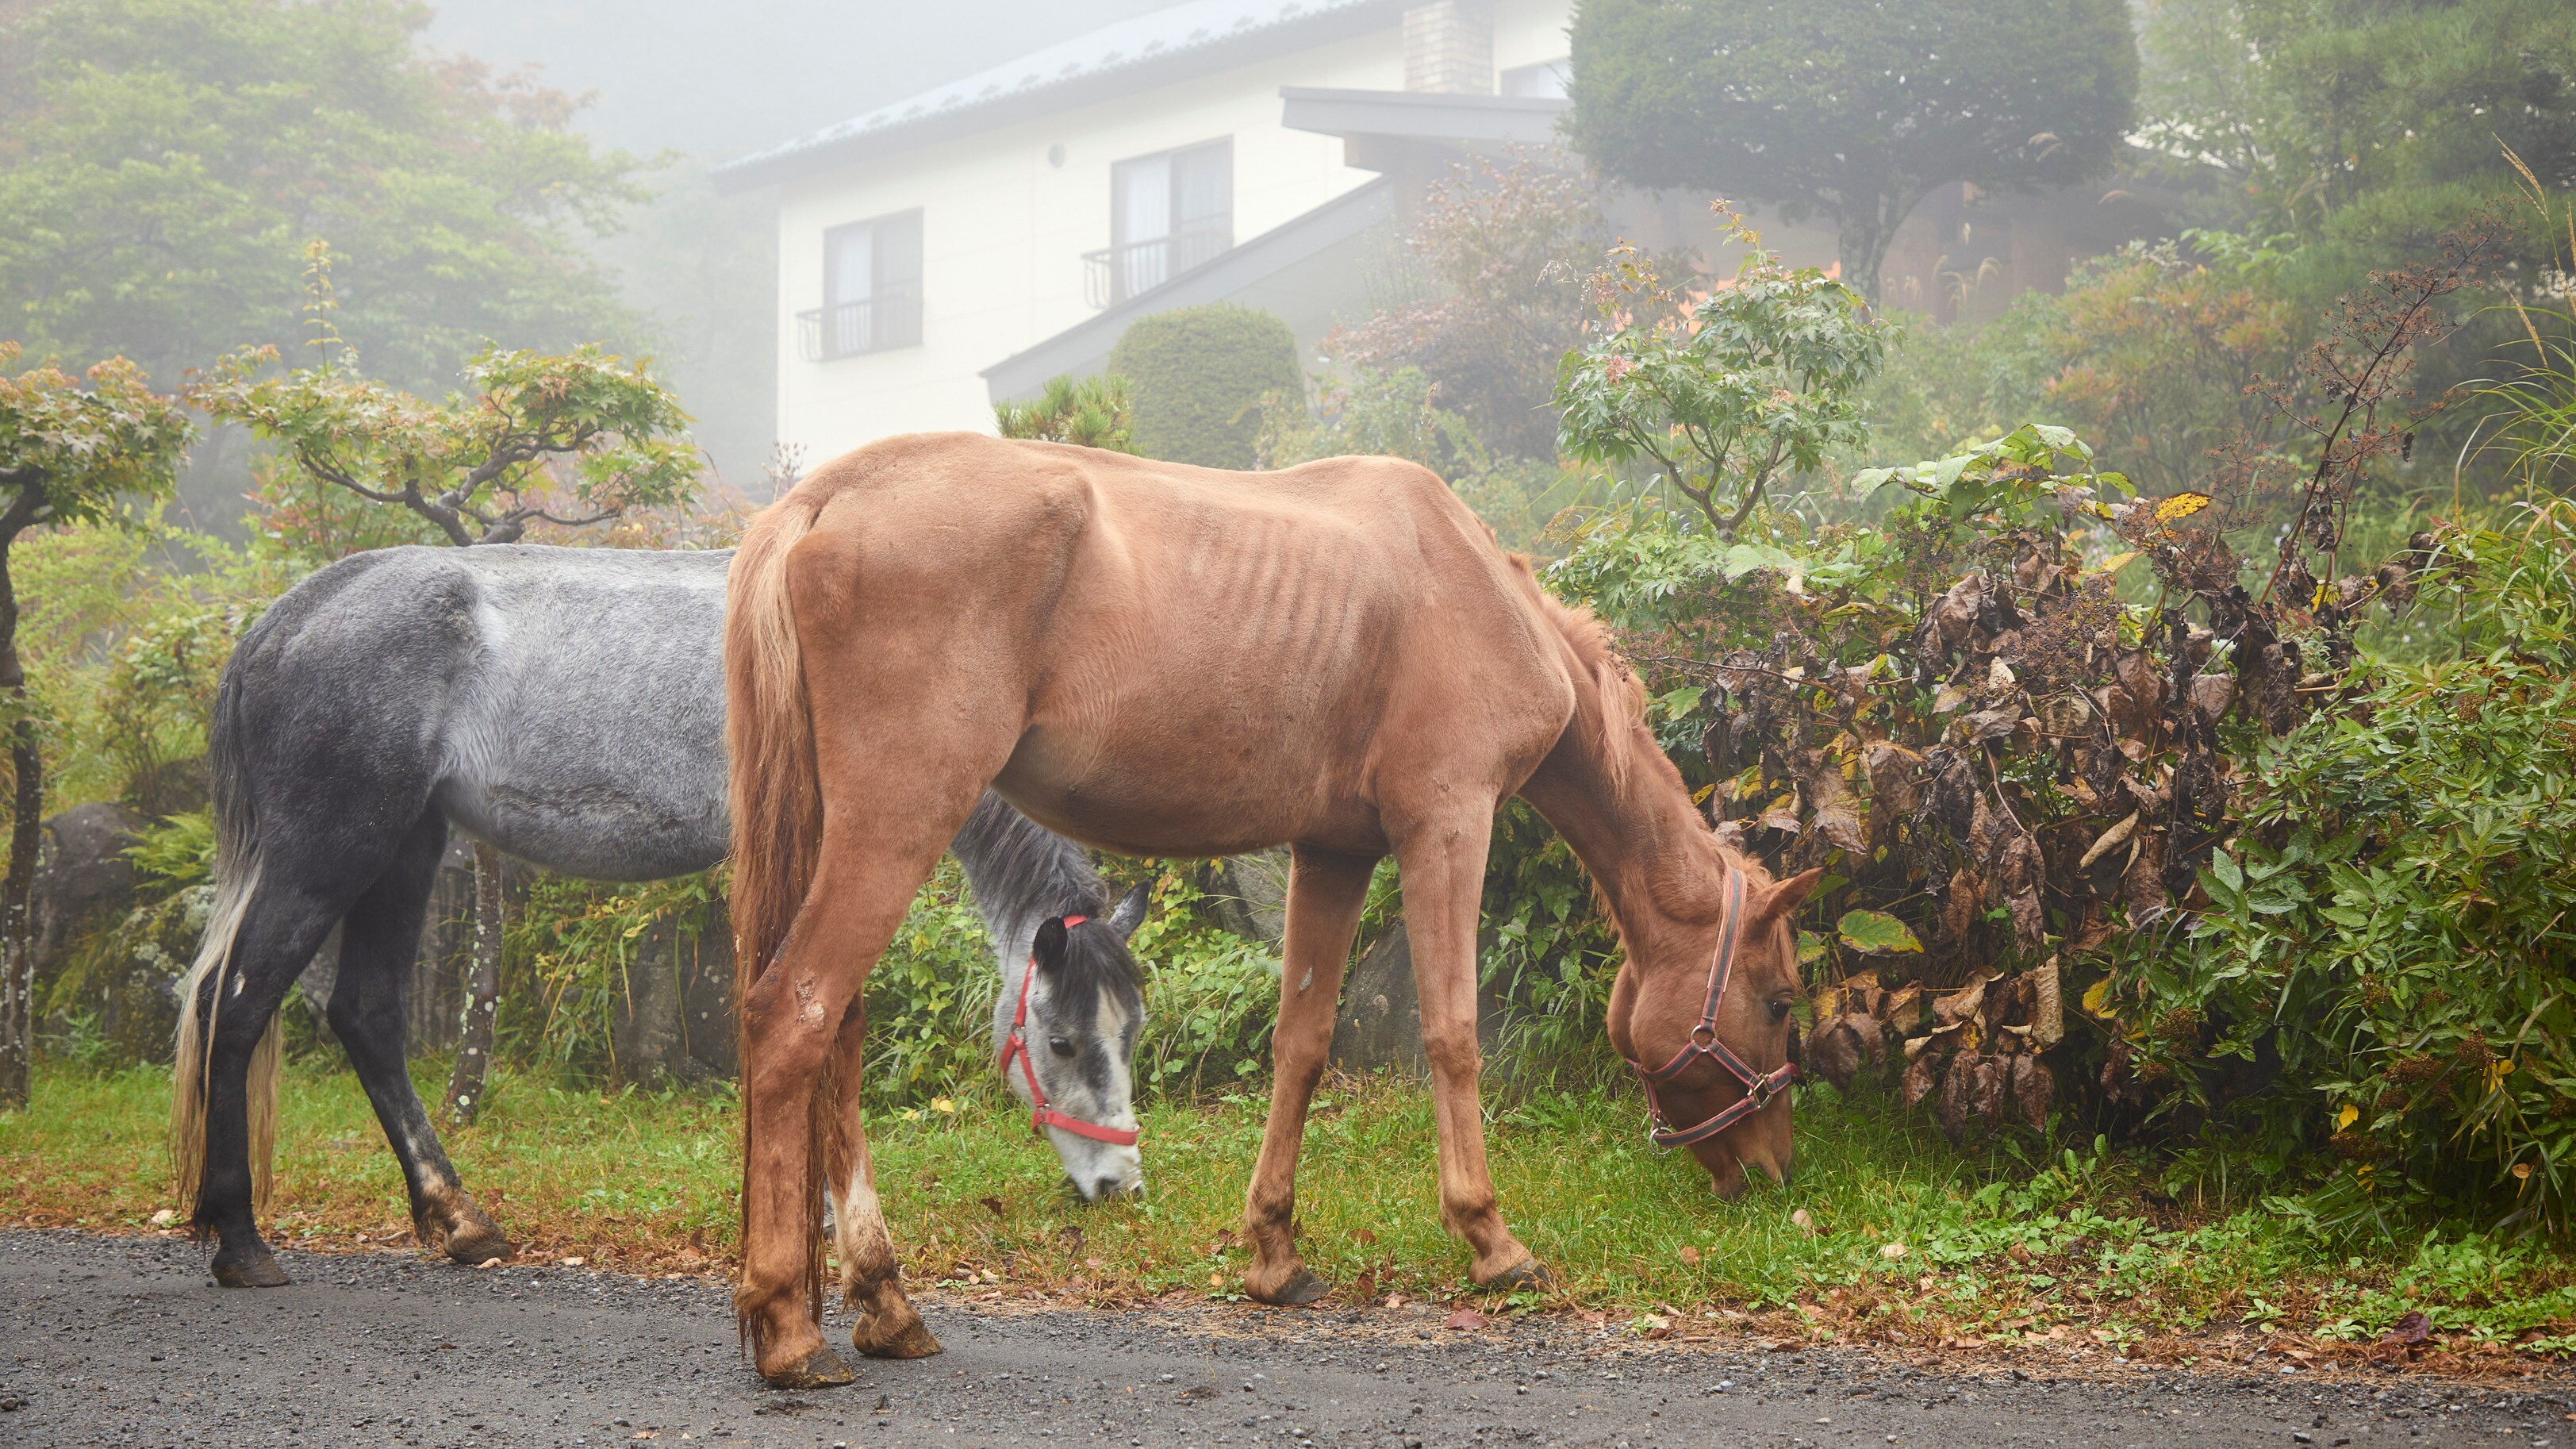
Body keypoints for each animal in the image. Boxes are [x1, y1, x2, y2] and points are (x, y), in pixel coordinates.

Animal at [171, 542, 1152, 1305]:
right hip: (331, 851)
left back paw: (459, 1219)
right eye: (1060, 1040)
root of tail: (285, 618)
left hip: (406, 847)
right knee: (234, 1001)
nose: (1118, 1182)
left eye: (1131, 1031)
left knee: (366, 1015)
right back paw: (242, 1241)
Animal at [721, 433, 1819, 1388]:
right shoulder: (1447, 823)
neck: (1476, 589)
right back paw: (786, 1325)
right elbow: (1452, 1032)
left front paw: (1274, 1250)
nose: (1773, 1170)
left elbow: (1302, 1042)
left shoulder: (1331, 852)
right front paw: (1490, 1238)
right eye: (1779, 1002)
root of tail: (830, 496)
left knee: (837, 1032)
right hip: (902, 814)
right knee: (794, 1012)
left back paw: (884, 1298)